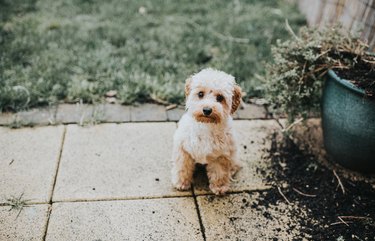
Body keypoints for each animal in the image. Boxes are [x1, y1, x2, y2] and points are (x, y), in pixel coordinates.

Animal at [172, 68, 242, 196]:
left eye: (220, 97)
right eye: (200, 94)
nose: (207, 110)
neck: (206, 126)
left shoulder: (222, 155)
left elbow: (220, 172)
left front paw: (219, 187)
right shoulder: (183, 150)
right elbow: (182, 166)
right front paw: (181, 182)